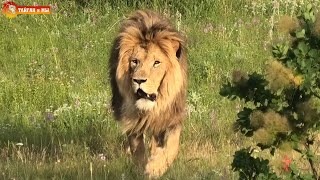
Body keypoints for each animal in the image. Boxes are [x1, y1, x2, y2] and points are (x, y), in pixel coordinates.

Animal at [109, 10, 188, 179]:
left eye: (156, 63)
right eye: (134, 61)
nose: (139, 80)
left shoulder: (172, 117)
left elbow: (172, 146)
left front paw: (155, 167)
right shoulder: (132, 120)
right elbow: (137, 150)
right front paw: (141, 170)